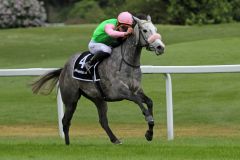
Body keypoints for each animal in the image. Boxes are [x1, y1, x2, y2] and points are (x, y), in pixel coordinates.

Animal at [31, 16, 165, 145]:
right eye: (145, 30)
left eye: (156, 29)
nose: (160, 47)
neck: (126, 63)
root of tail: (64, 68)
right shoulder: (119, 92)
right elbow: (137, 100)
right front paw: (148, 118)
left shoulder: (136, 89)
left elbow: (149, 102)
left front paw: (149, 134)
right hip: (71, 100)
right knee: (65, 121)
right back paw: (68, 144)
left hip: (98, 99)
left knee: (102, 120)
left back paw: (115, 140)